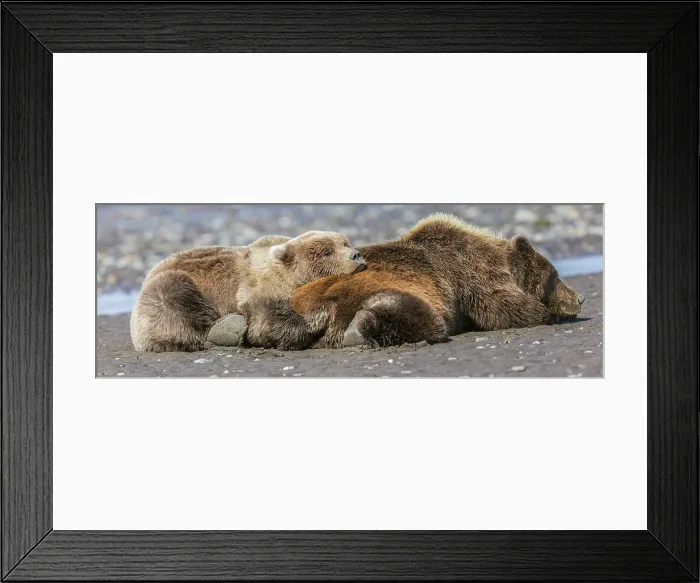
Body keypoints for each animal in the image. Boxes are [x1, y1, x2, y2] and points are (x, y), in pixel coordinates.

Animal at [130, 231, 367, 352]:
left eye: (345, 243)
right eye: (326, 251)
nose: (355, 255)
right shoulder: (257, 286)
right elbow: (264, 319)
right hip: (170, 288)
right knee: (174, 300)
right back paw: (223, 329)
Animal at [241, 214, 585, 350]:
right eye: (556, 276)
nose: (580, 298)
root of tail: (317, 311)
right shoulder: (472, 272)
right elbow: (502, 307)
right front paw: (546, 313)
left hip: (289, 304)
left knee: (269, 316)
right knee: (421, 315)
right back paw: (364, 324)